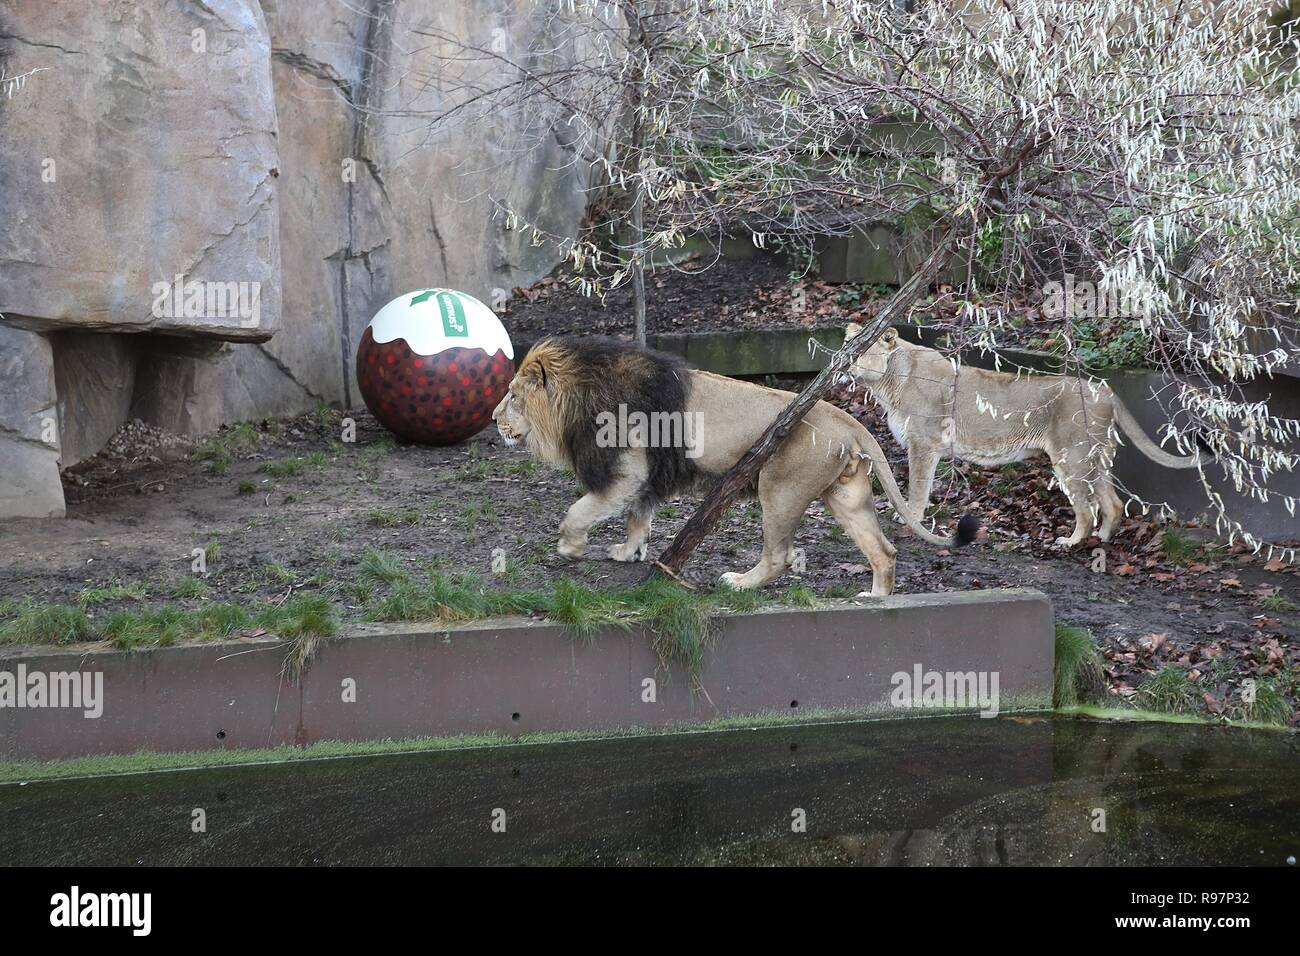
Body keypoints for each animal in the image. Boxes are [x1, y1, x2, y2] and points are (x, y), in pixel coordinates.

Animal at [488, 335, 977, 590]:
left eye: (511, 395)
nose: (493, 419)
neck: (579, 398)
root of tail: (848, 419)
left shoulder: (627, 469)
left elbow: (580, 510)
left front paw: (571, 548)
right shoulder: (647, 474)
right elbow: (637, 517)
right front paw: (629, 551)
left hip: (779, 489)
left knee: (778, 557)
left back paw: (739, 582)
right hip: (845, 496)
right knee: (885, 551)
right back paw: (874, 599)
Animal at [842, 323, 1196, 546]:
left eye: (861, 352)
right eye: (849, 347)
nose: (844, 362)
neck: (889, 382)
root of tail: (1106, 391)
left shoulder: (923, 445)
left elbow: (917, 488)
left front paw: (910, 519)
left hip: (1072, 457)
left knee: (1086, 509)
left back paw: (1070, 542)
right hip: (1096, 458)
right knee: (1112, 503)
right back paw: (1104, 538)